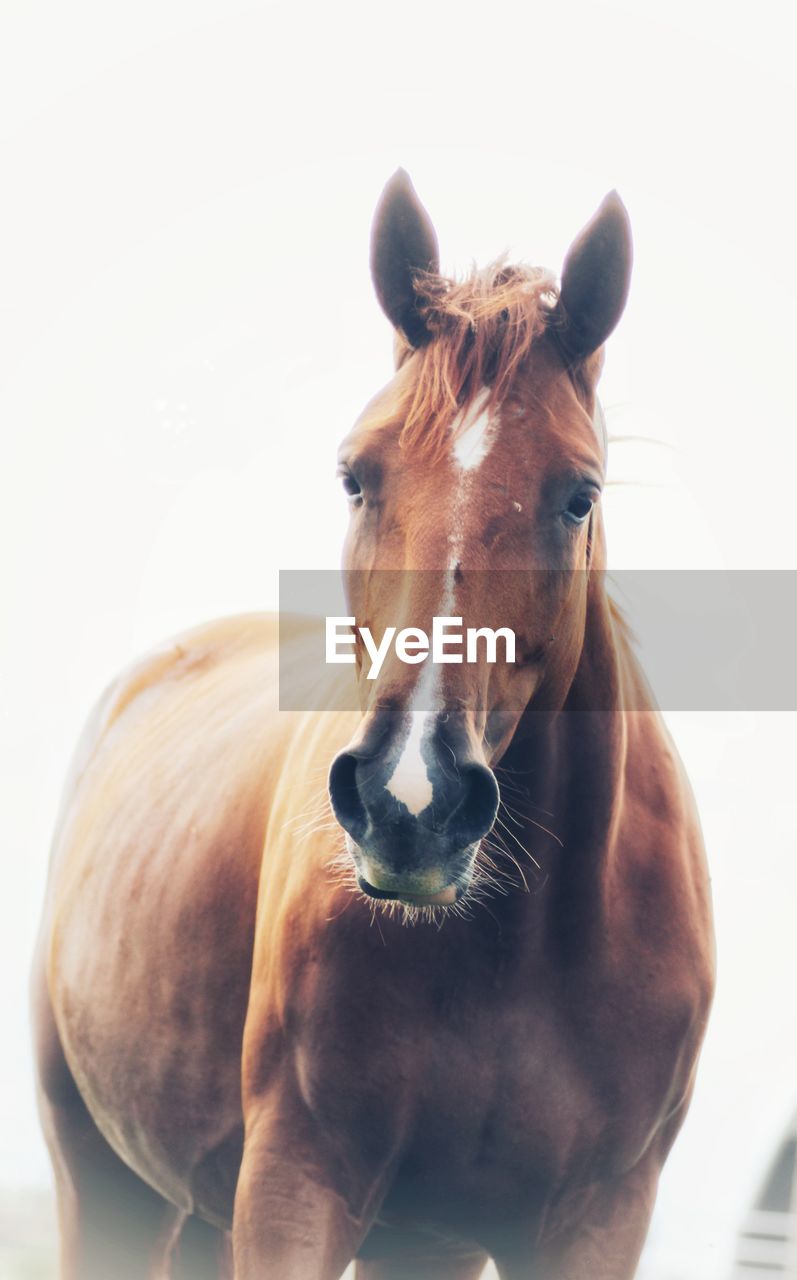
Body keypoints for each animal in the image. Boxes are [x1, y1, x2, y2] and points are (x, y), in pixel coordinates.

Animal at [32, 170, 715, 1280]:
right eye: (357, 474)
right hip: (103, 1178)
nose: (410, 803)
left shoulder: (596, 1220)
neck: (512, 951)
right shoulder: (295, 1186)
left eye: (578, 495)